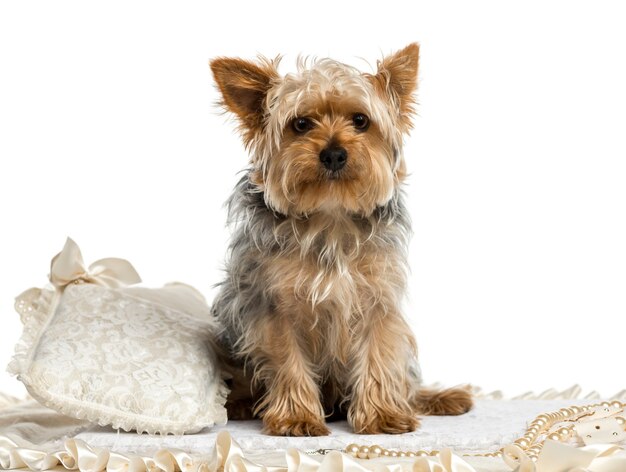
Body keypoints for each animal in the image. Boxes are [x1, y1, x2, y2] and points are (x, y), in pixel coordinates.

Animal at [207, 44, 470, 436]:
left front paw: (382, 415)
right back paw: (240, 404)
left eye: (360, 120)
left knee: (406, 381)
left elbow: (379, 353)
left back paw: (435, 398)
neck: (330, 213)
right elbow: (288, 358)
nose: (333, 153)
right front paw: (297, 417)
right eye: (301, 124)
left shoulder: (378, 297)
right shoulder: (275, 304)